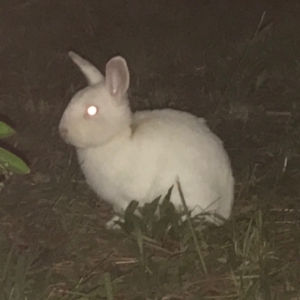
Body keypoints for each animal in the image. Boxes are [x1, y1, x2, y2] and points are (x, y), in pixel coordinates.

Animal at [58, 51, 234, 230]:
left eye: (92, 111)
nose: (63, 131)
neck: (116, 137)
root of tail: (224, 207)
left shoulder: (126, 198)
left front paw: (113, 224)